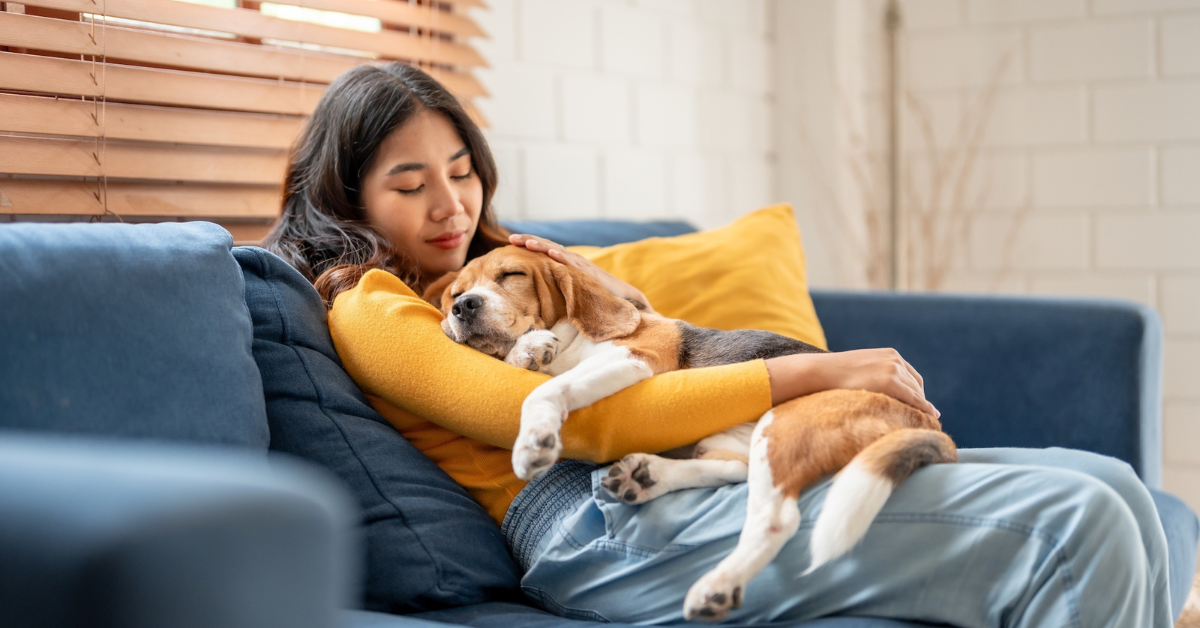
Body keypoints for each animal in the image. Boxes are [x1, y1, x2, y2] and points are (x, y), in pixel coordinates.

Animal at [424, 247, 955, 624]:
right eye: (455, 294)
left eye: (511, 275)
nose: (464, 307)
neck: (573, 338)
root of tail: (928, 422)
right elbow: (536, 369)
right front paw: (528, 351)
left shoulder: (636, 359)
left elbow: (546, 390)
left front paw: (534, 437)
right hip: (740, 436)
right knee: (733, 470)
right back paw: (647, 476)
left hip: (785, 424)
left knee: (776, 516)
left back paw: (717, 583)